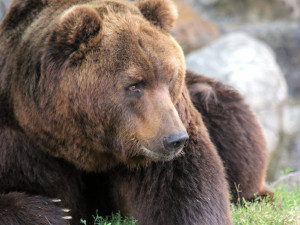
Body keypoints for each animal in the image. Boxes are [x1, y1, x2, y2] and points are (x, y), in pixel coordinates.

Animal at [0, 0, 233, 225]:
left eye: (170, 77)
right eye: (134, 85)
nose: (175, 139)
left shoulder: (169, 123)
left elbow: (184, 185)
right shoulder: (21, 140)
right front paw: (54, 212)